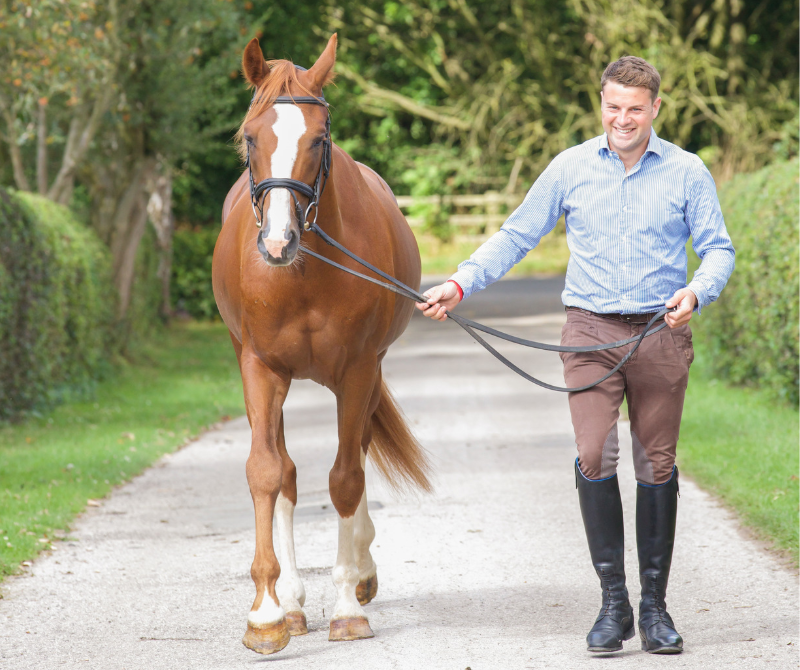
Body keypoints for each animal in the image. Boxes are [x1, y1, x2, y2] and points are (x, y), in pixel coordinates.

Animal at [212, 34, 432, 655]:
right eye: (251, 136)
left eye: (317, 139)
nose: (278, 242)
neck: (305, 273)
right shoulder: (259, 369)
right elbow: (267, 473)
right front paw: (266, 615)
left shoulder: (357, 371)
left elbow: (346, 478)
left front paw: (347, 606)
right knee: (285, 473)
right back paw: (290, 603)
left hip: (365, 376)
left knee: (355, 456)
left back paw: (359, 577)